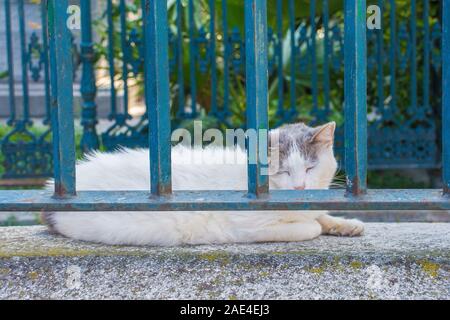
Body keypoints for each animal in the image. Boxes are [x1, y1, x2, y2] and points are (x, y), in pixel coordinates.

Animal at [43, 121, 366, 246]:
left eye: (310, 168)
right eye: (284, 172)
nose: (300, 188)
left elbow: (322, 216)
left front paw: (346, 224)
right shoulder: (249, 227)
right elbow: (310, 227)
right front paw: (317, 225)